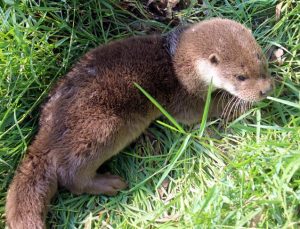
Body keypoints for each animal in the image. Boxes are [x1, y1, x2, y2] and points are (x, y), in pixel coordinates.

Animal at [4, 18, 274, 229]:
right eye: (240, 77)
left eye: (260, 62)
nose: (265, 90)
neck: (178, 64)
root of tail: (48, 133)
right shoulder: (182, 97)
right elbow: (197, 113)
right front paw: (240, 106)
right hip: (102, 127)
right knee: (71, 175)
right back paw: (109, 183)